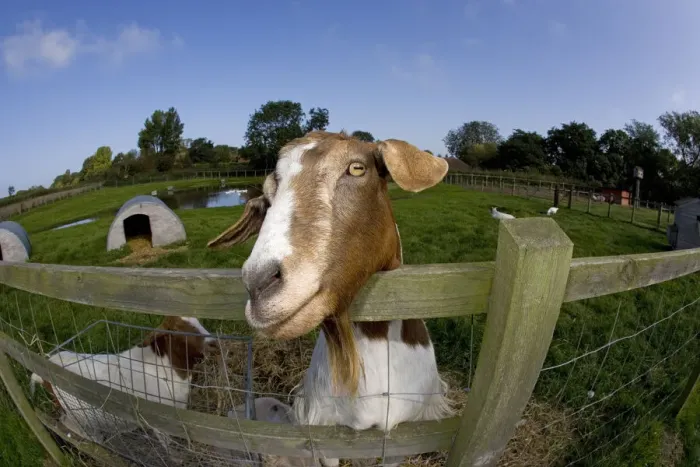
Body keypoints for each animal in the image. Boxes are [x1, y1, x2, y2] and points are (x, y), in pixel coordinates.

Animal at [30, 316, 216, 445]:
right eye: (176, 329)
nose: (214, 343)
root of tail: (42, 373)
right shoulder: (159, 422)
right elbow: (169, 447)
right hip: (79, 417)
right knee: (74, 427)